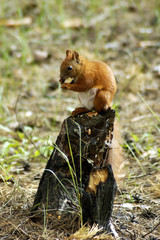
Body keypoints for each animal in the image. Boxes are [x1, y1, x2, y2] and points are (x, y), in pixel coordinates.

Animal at [59, 49, 123, 189]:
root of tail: (109, 104)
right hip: (83, 99)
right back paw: (80, 110)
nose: (61, 78)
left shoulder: (88, 77)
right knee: (88, 107)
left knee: (98, 110)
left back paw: (92, 112)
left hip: (101, 96)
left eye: (69, 67)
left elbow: (82, 86)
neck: (82, 68)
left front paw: (66, 86)